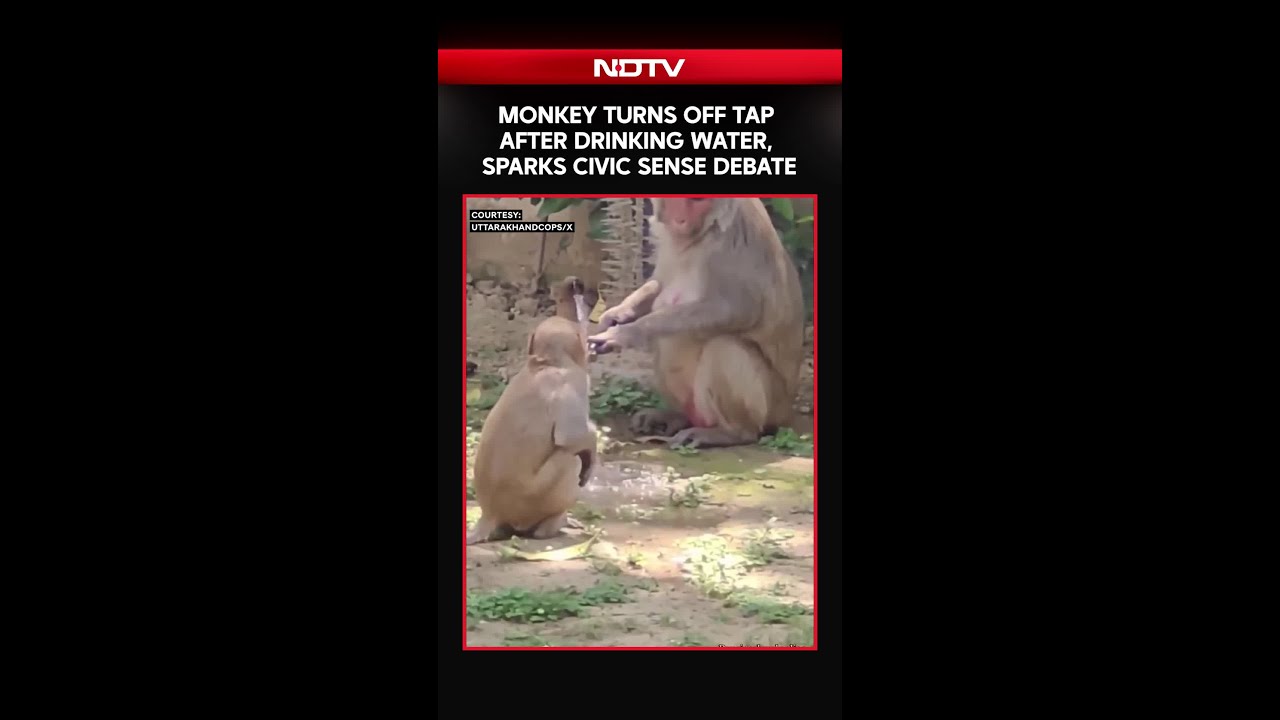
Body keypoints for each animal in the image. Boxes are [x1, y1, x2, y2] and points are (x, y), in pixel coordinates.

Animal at [467, 313, 598, 545]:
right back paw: (552, 525)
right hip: (534, 499)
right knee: (570, 458)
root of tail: (490, 513)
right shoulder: (574, 379)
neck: (544, 362)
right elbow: (570, 437)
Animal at [588, 197, 805, 449]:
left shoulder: (732, 240)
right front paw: (616, 315)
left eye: (698, 201)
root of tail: (788, 411)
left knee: (724, 348)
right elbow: (658, 283)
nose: (681, 221)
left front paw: (627, 333)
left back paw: (733, 433)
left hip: (772, 408)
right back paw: (674, 417)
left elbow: (736, 310)